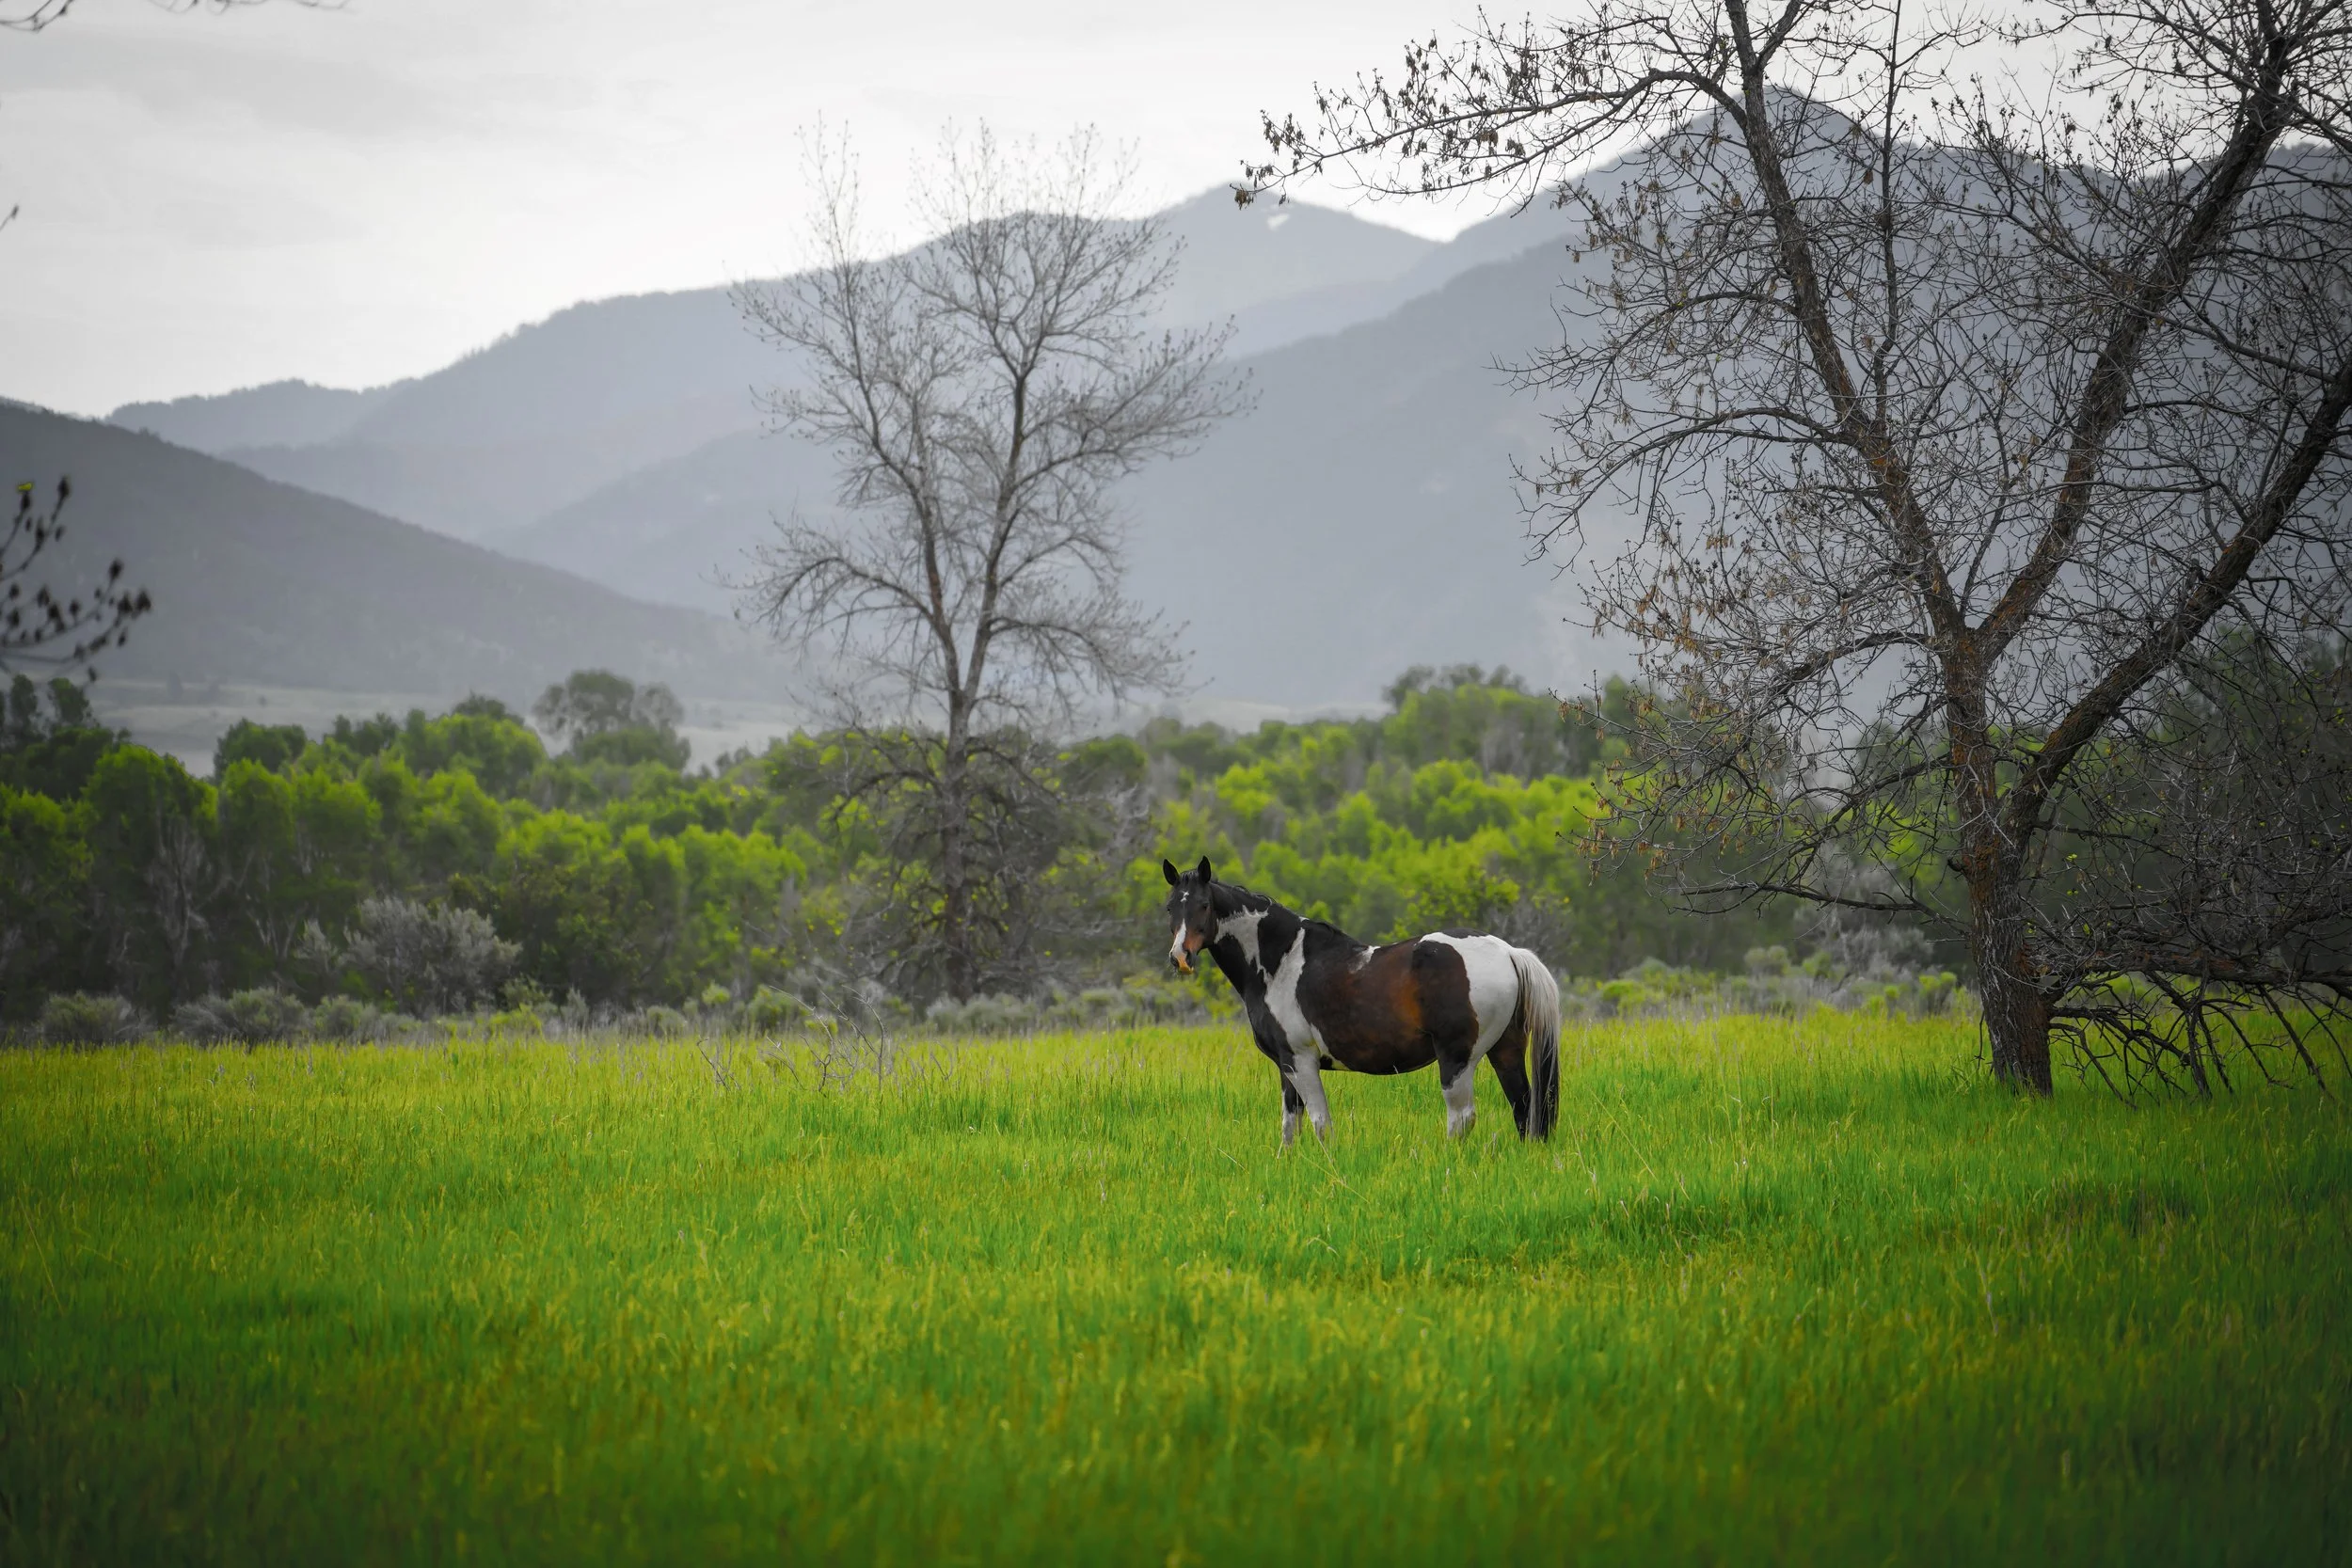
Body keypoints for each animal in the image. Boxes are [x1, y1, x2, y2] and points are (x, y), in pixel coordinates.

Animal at [1161, 856, 1561, 1145]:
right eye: (1170, 908)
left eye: (1203, 905)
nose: (1180, 957)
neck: (1280, 962)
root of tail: (1507, 951)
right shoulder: (1285, 1065)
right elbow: (1291, 1128)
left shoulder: (1301, 1061)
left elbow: (1321, 1124)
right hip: (1505, 1050)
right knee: (1525, 1110)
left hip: (1457, 1059)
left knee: (1462, 1119)